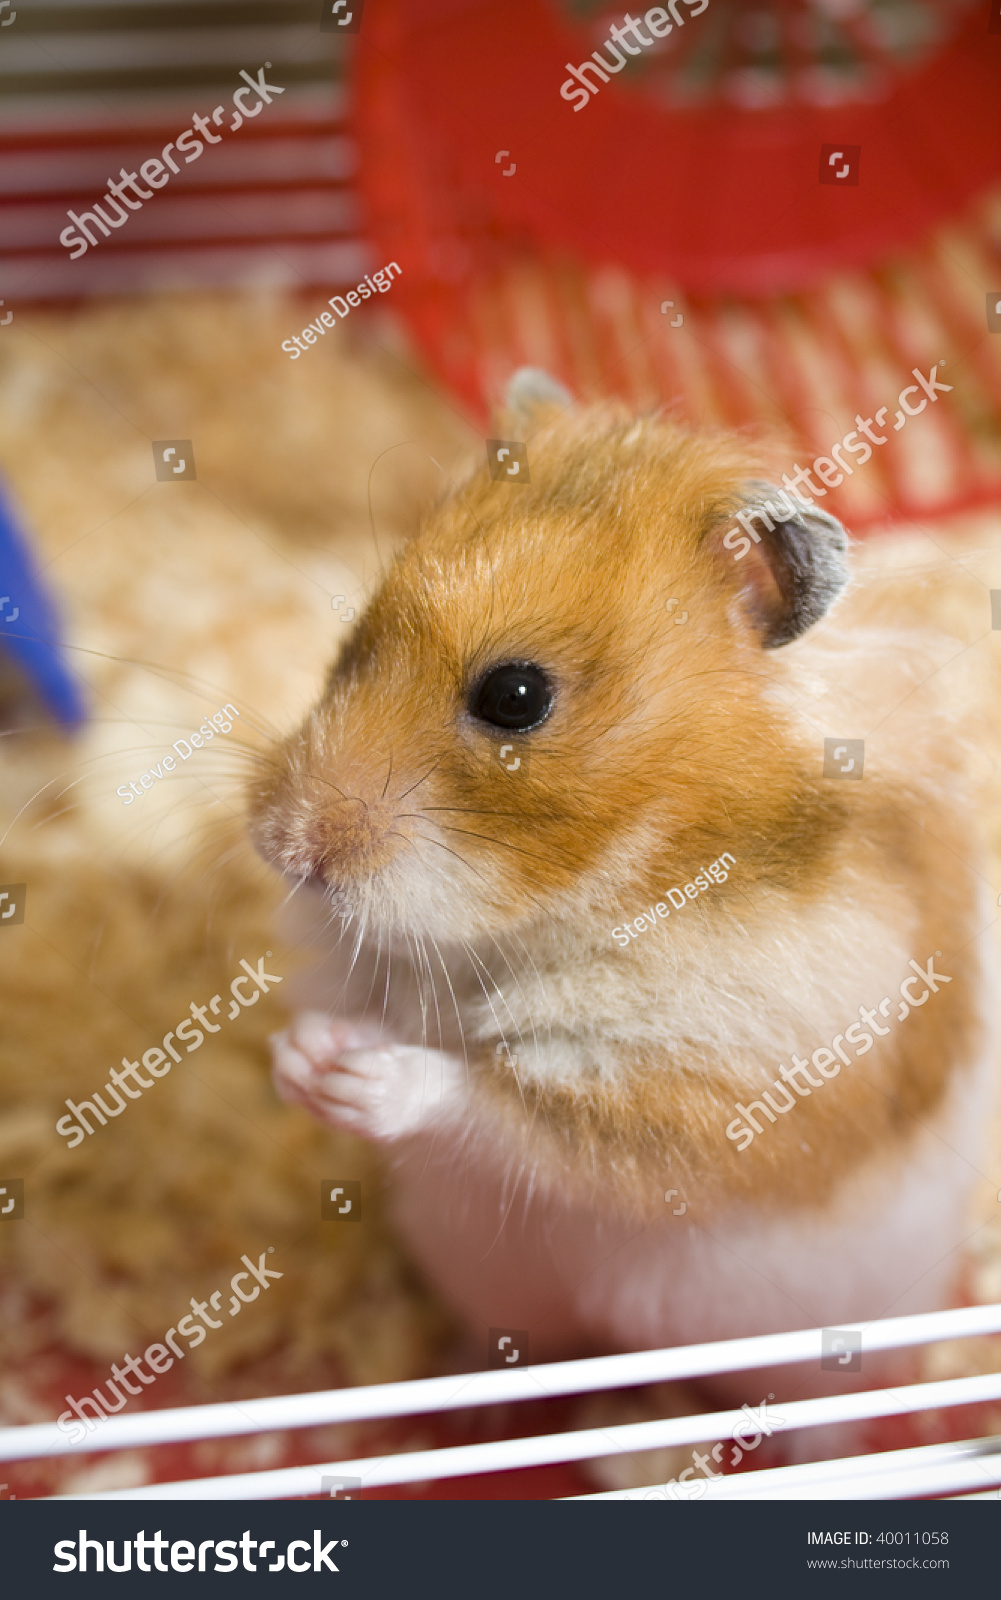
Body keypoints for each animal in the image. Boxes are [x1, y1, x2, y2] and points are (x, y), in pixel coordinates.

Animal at [247, 371, 991, 1414]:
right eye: (351, 639)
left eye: (515, 696)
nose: (285, 848)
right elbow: (355, 1002)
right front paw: (304, 1060)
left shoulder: (716, 1092)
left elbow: (507, 1108)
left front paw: (362, 1079)